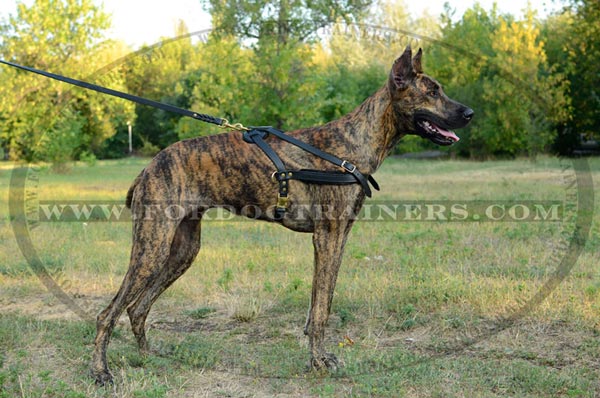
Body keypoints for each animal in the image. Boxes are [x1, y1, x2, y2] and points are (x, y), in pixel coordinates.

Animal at [90, 46, 474, 386]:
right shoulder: (327, 237)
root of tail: (148, 167)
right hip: (151, 248)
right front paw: (318, 363)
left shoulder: (338, 238)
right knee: (108, 313)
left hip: (182, 250)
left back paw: (148, 357)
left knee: (137, 308)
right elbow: (320, 312)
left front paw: (320, 356)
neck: (352, 144)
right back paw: (100, 372)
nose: (470, 113)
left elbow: (321, 302)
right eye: (432, 91)